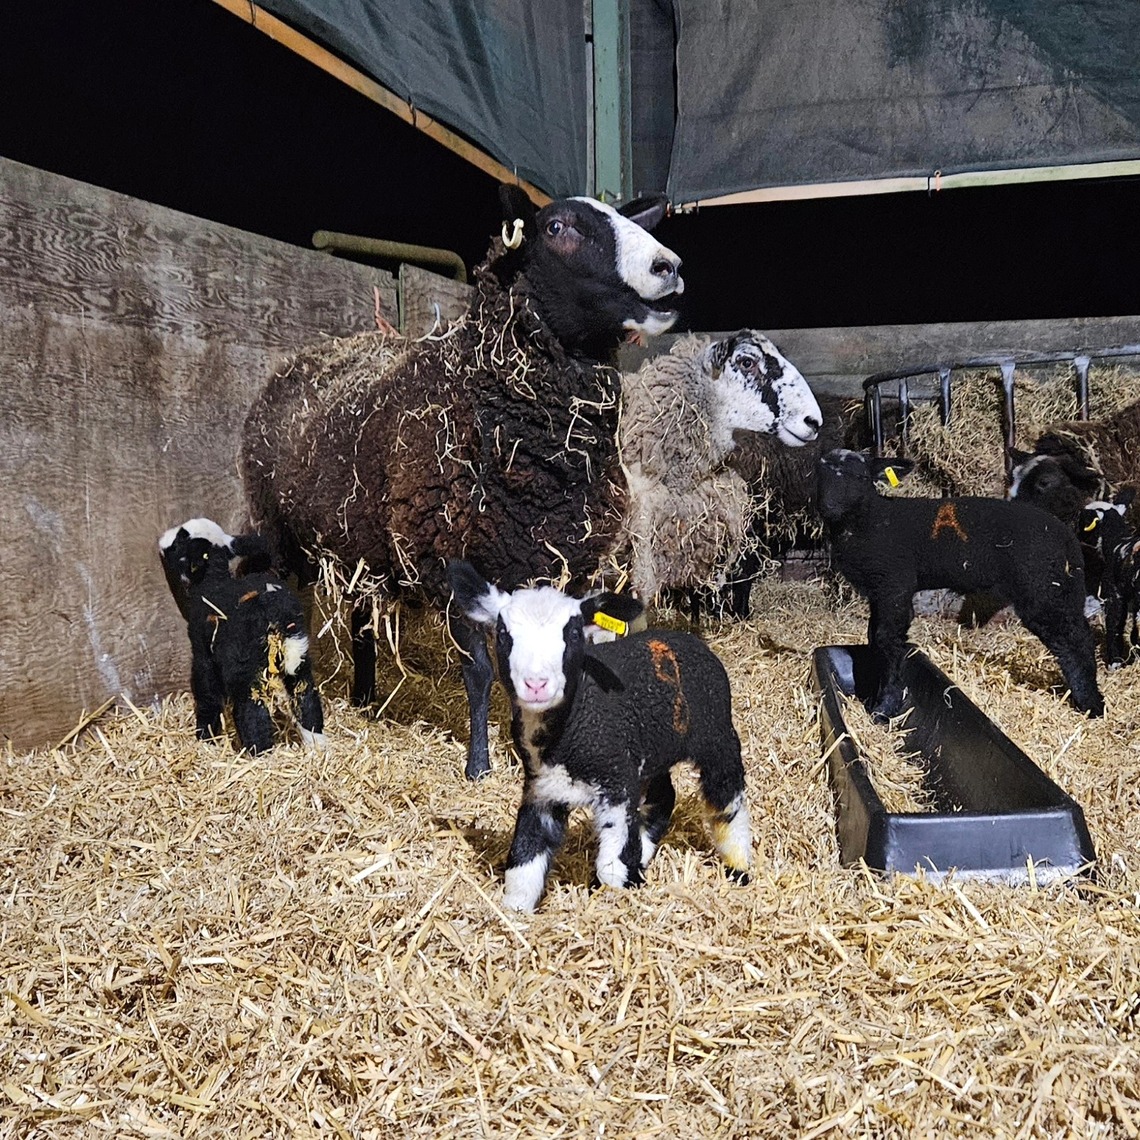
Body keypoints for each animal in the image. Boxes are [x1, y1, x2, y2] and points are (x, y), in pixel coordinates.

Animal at [159, 521, 325, 753]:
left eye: (180, 541)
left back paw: (260, 752)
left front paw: (205, 736)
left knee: (252, 711)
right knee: (306, 698)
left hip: (245, 668)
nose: (161, 541)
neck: (214, 579)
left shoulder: (203, 653)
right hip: (299, 660)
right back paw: (317, 744)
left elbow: (207, 694)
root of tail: (279, 614)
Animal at [242, 186, 684, 779]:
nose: (669, 266)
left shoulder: (571, 569)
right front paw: (479, 766)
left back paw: (364, 699)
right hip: (281, 540)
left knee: (362, 622)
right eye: (558, 227)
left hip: (359, 549)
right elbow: (478, 673)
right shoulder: (455, 569)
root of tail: (298, 359)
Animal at [446, 559, 752, 912]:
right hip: (650, 754)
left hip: (717, 736)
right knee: (663, 797)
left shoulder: (617, 785)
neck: (570, 733)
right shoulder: (542, 788)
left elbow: (610, 866)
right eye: (503, 634)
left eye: (573, 632)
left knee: (727, 798)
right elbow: (524, 859)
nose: (536, 684)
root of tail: (687, 638)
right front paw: (515, 911)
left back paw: (739, 865)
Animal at [817, 449, 1104, 721]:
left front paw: (884, 707)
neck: (870, 519)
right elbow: (873, 637)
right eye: (818, 474)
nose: (828, 506)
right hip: (1062, 590)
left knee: (1073, 641)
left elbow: (887, 640)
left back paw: (1092, 704)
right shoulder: (879, 593)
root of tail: (1066, 537)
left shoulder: (894, 585)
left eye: (861, 477)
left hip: (1043, 589)